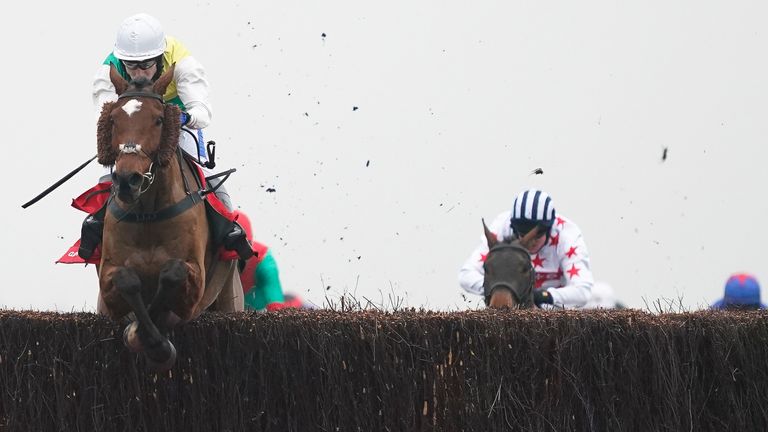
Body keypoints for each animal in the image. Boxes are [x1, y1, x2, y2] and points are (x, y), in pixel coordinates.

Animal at [95, 64, 242, 372]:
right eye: (113, 119)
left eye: (159, 119)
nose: (127, 180)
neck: (148, 215)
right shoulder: (109, 283)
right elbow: (127, 280)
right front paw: (138, 332)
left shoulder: (194, 284)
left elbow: (172, 273)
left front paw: (157, 344)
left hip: (230, 298)